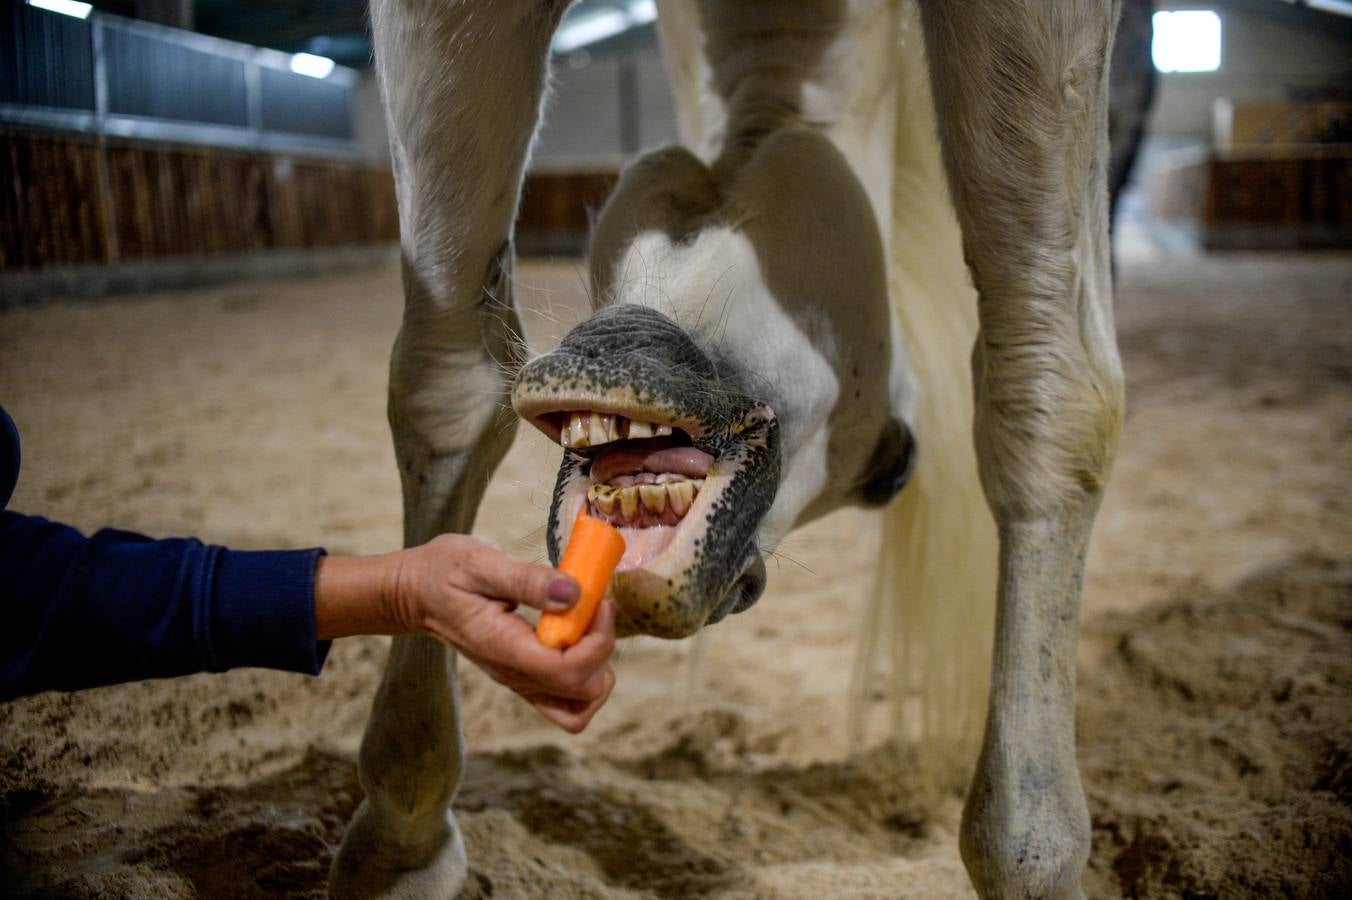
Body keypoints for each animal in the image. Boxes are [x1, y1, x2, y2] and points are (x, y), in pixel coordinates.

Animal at [332, 3, 1124, 891]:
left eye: (894, 470)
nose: (623, 347)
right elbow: (446, 383)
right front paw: (401, 842)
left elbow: (1047, 389)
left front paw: (1034, 853)